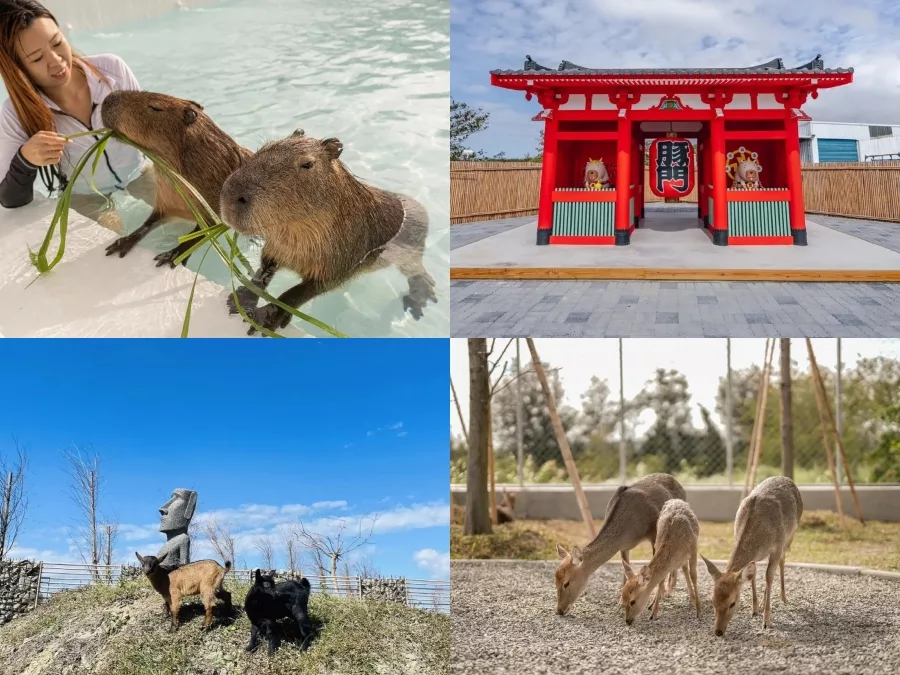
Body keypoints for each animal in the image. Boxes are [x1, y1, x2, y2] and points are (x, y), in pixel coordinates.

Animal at [554, 473, 686, 616]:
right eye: (555, 581)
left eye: (566, 583)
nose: (559, 610)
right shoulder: (624, 547)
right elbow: (625, 569)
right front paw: (621, 602)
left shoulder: (654, 534)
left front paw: (653, 604)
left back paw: (668, 589)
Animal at [701, 475, 803, 635]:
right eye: (712, 600)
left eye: (733, 603)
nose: (718, 631)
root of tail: (786, 478)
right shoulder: (754, 556)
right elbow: (753, 575)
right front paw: (754, 609)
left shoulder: (777, 546)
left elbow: (769, 576)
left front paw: (766, 622)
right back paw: (761, 603)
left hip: (791, 535)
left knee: (782, 561)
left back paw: (783, 597)